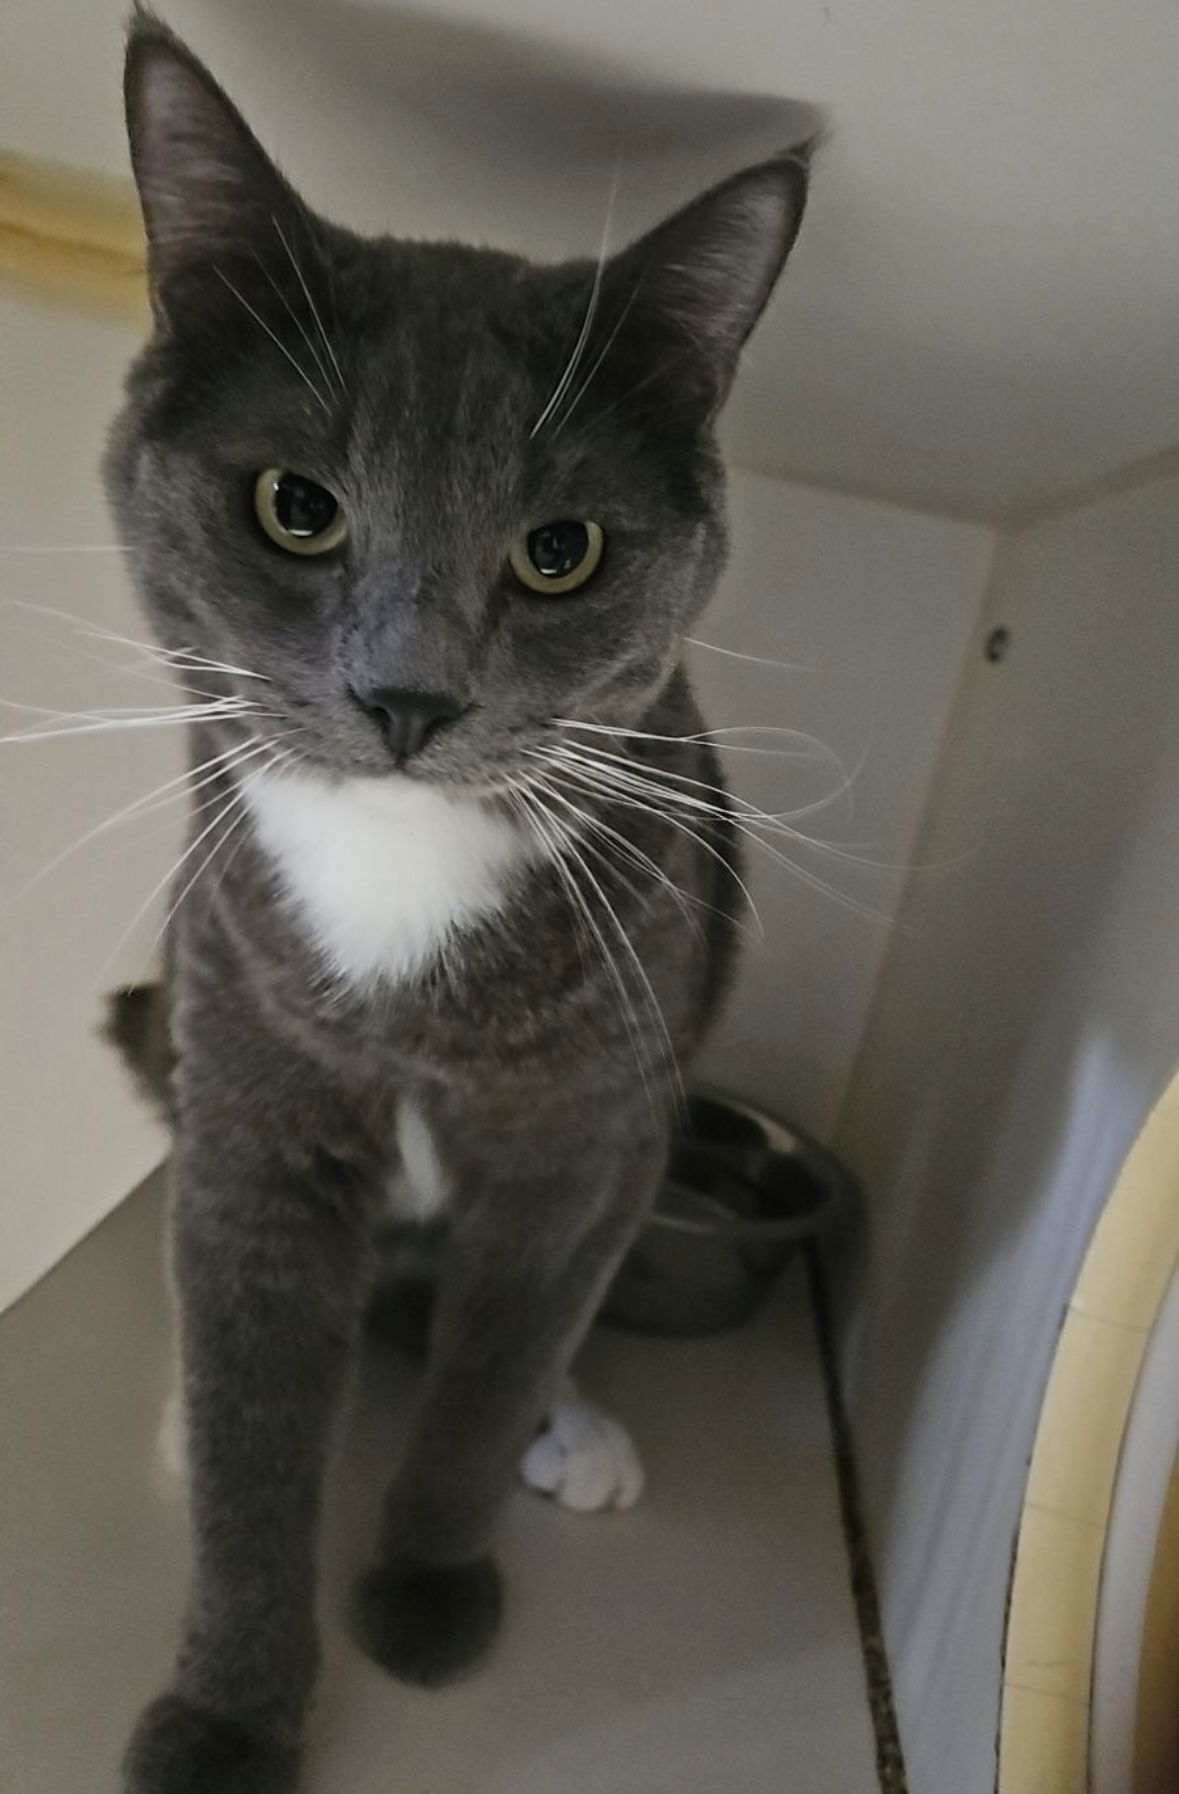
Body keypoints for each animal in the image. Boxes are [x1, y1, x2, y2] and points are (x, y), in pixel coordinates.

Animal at [108, 17, 811, 1794]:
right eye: (295, 506)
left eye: (560, 550)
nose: (408, 696)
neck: (397, 874)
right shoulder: (251, 1102)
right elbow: (255, 1429)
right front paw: (225, 1715)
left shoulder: (576, 1146)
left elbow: (490, 1375)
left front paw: (427, 1587)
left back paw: (583, 1430)